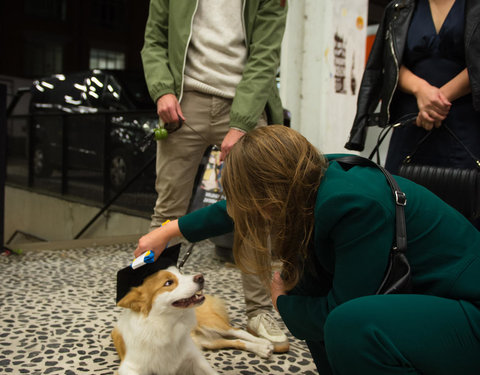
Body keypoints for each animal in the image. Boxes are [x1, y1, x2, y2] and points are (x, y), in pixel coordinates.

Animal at [111, 268, 274, 375]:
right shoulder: (129, 367)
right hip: (208, 341)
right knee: (234, 341)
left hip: (210, 322)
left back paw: (263, 342)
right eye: (168, 282)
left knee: (237, 331)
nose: (201, 277)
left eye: (181, 273)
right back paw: (261, 348)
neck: (169, 325)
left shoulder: (194, 356)